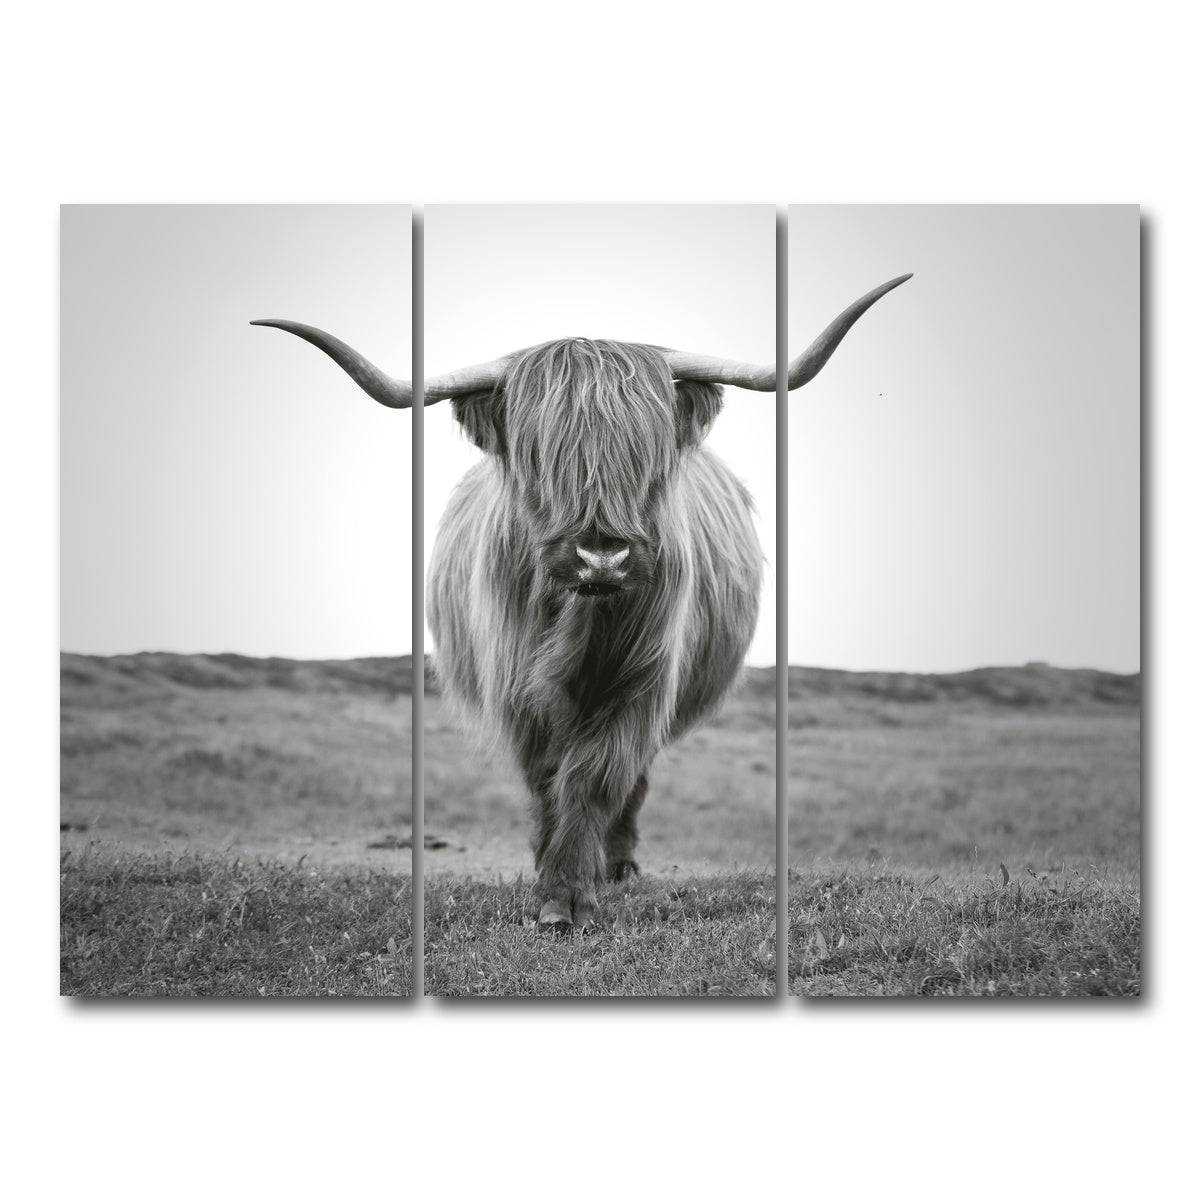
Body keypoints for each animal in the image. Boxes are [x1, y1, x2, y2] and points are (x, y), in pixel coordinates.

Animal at [253, 272, 909, 929]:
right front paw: (550, 879)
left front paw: (570, 891)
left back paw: (617, 866)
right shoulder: (517, 689)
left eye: (647, 455)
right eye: (539, 457)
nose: (601, 558)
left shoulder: (642, 681)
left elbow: (597, 776)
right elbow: (548, 777)